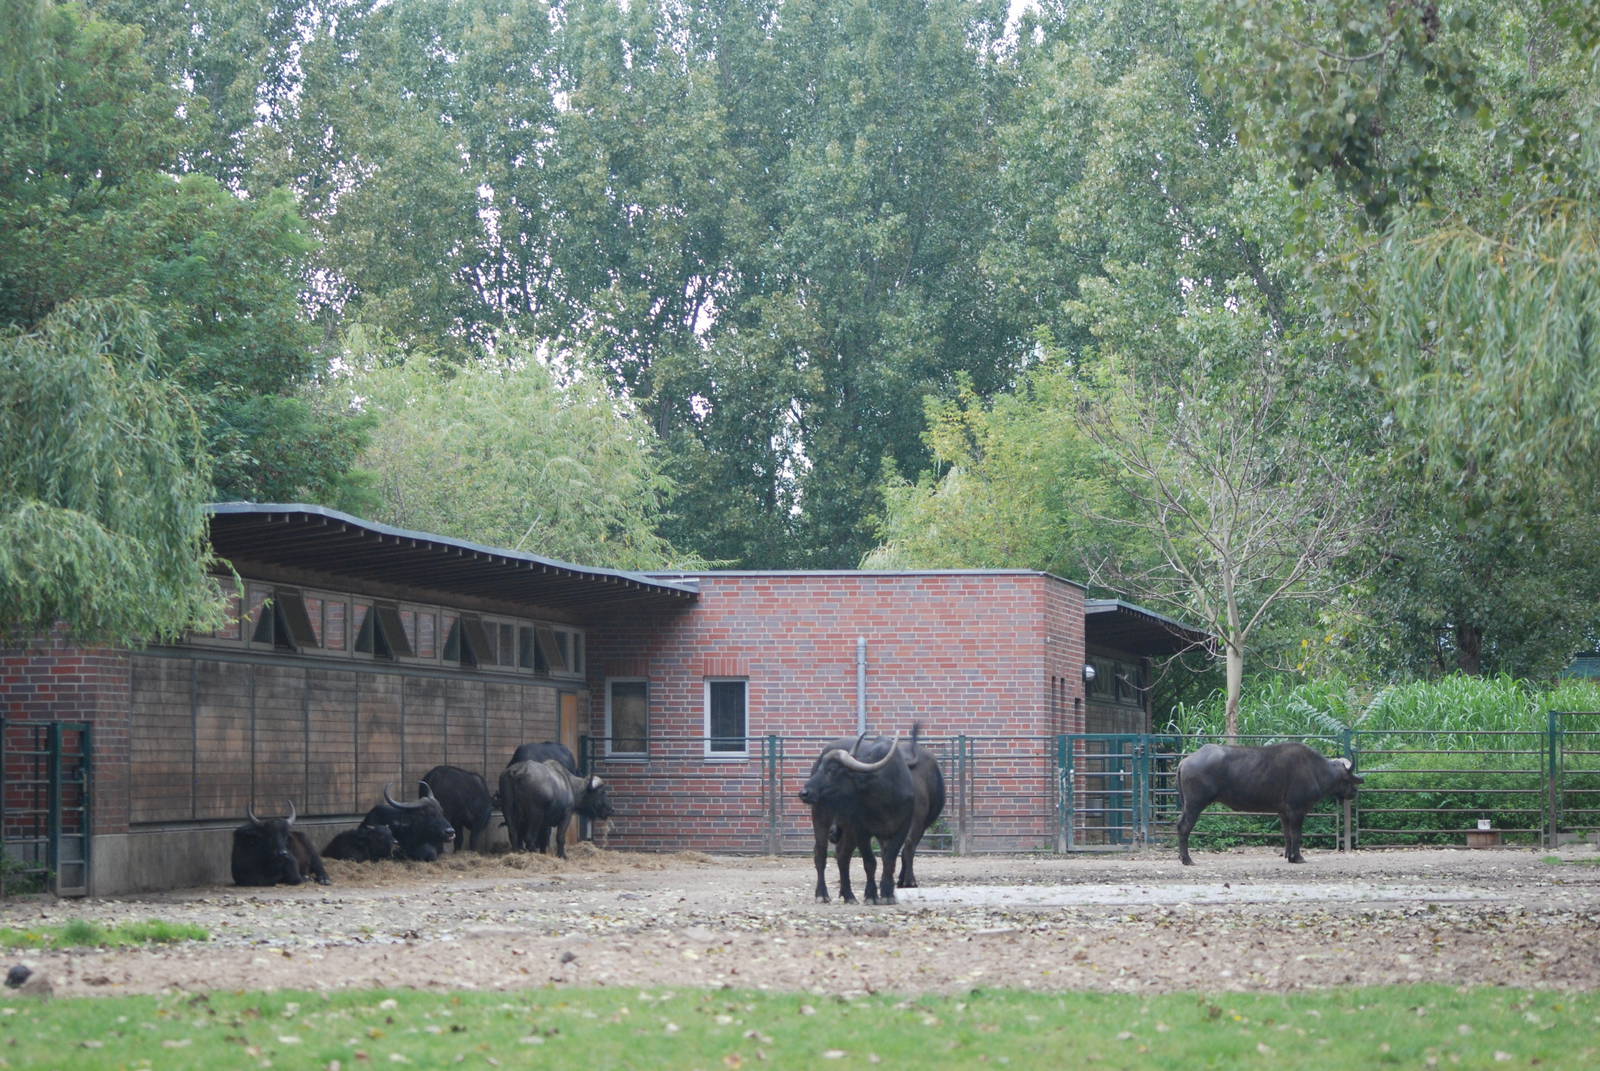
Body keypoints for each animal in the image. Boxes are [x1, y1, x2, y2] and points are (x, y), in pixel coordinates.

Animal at [799, 725, 944, 905]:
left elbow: (889, 860)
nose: (804, 792)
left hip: (847, 828)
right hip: (821, 815)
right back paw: (822, 894)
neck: (883, 796)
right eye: (820, 768)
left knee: (842, 855)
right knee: (820, 853)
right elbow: (870, 862)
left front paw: (887, 893)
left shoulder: (901, 829)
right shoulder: (861, 829)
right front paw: (871, 895)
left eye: (832, 770)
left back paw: (849, 895)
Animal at [1176, 741, 1363, 865]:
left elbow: (1287, 835)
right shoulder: (1297, 811)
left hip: (1187, 805)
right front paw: (1298, 857)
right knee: (1184, 828)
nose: (1355, 792)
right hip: (1194, 805)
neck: (1316, 770)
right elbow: (1297, 835)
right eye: (1348, 779)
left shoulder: (1283, 813)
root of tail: (1185, 760)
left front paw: (1289, 856)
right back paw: (1187, 859)